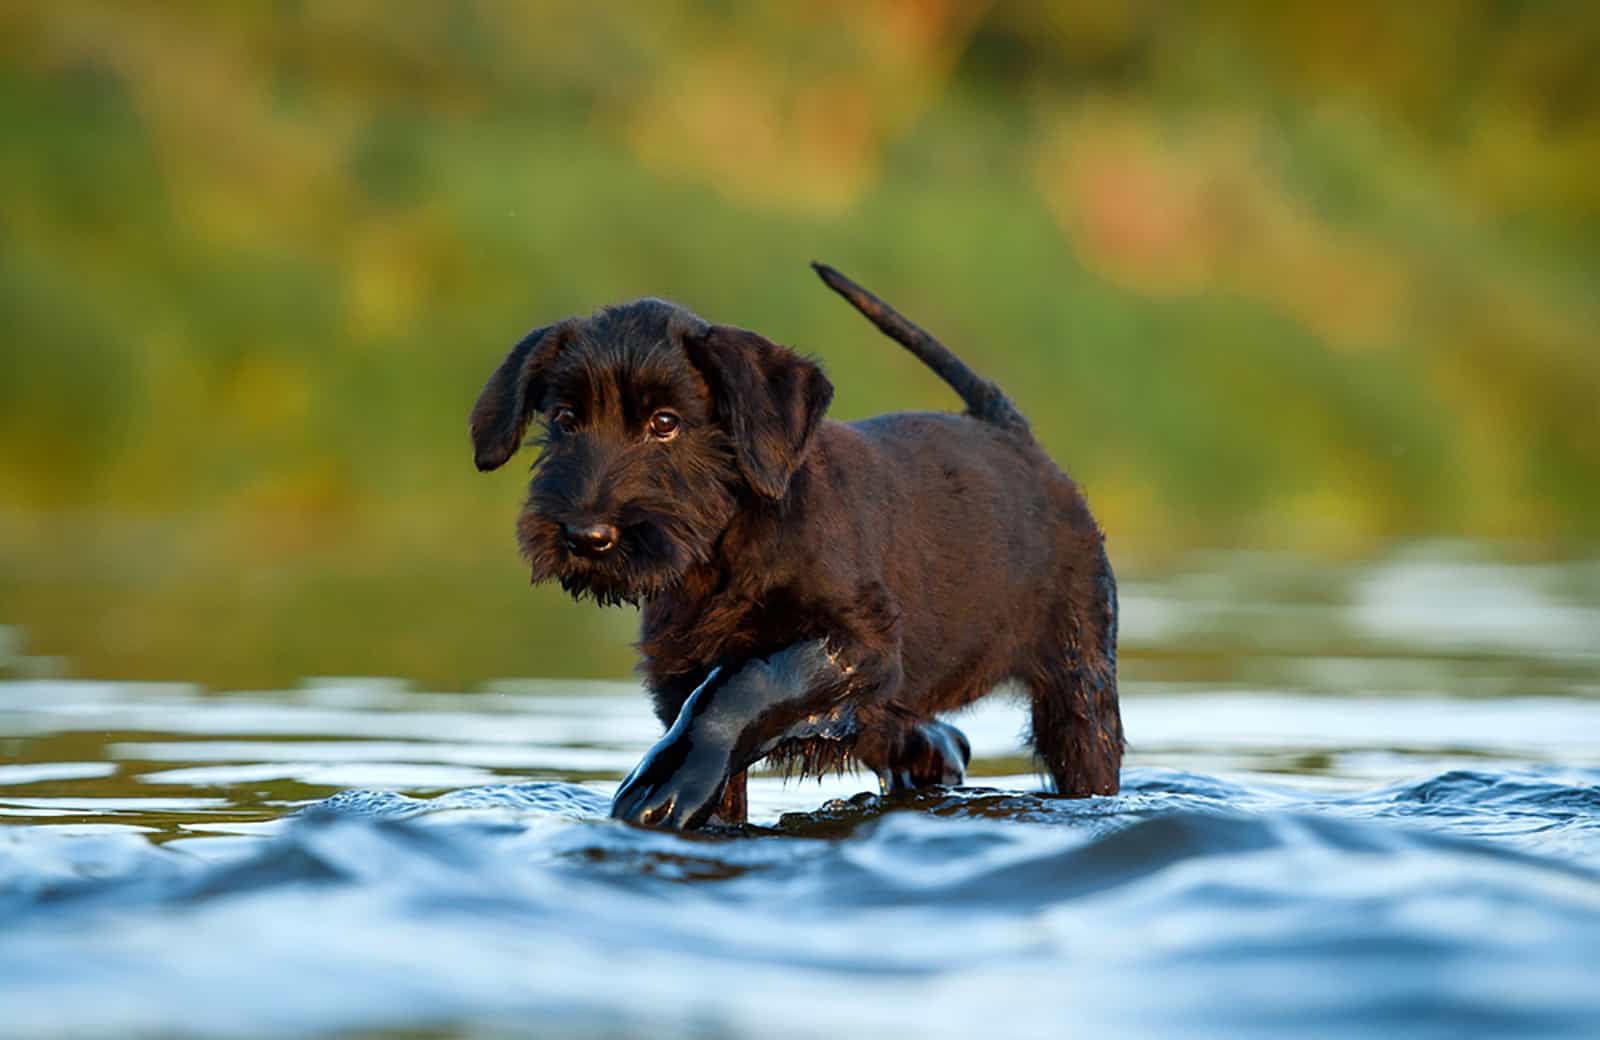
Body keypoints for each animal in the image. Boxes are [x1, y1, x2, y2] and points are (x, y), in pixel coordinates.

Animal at [470, 265, 1126, 825]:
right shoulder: (683, 673)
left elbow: (744, 680)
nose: (586, 536)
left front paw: (662, 779)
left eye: (665, 423)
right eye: (564, 418)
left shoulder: (861, 641)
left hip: (1077, 675)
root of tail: (1015, 436)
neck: (721, 550)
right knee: (929, 737)